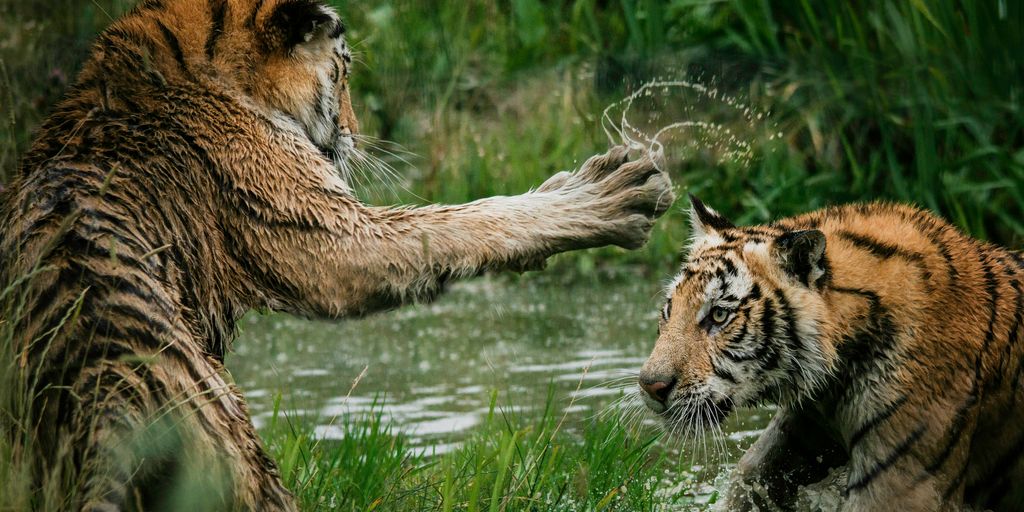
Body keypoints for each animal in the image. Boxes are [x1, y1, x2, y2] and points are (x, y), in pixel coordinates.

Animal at [0, 0, 675, 509]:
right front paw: (612, 193)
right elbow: (462, 221)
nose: (355, 133)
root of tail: (107, 410)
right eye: (345, 72)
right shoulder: (328, 234)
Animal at [638, 196, 1024, 511]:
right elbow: (748, 479)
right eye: (669, 310)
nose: (649, 386)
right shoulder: (804, 429)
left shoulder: (902, 484)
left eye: (719, 315)